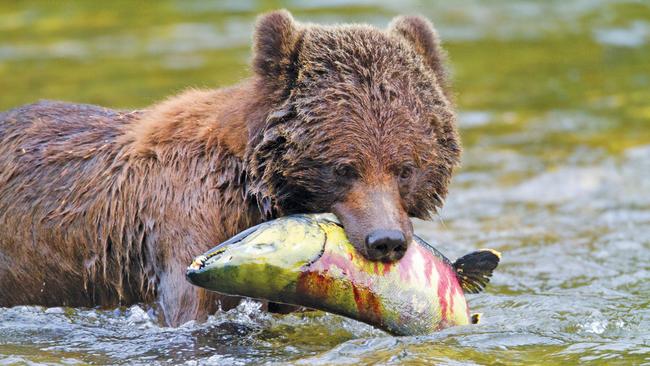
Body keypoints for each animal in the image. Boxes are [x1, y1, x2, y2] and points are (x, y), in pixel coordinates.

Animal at [0, 9, 458, 326]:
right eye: (344, 168)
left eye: (405, 168)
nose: (386, 240)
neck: (252, 184)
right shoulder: (186, 226)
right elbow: (193, 312)